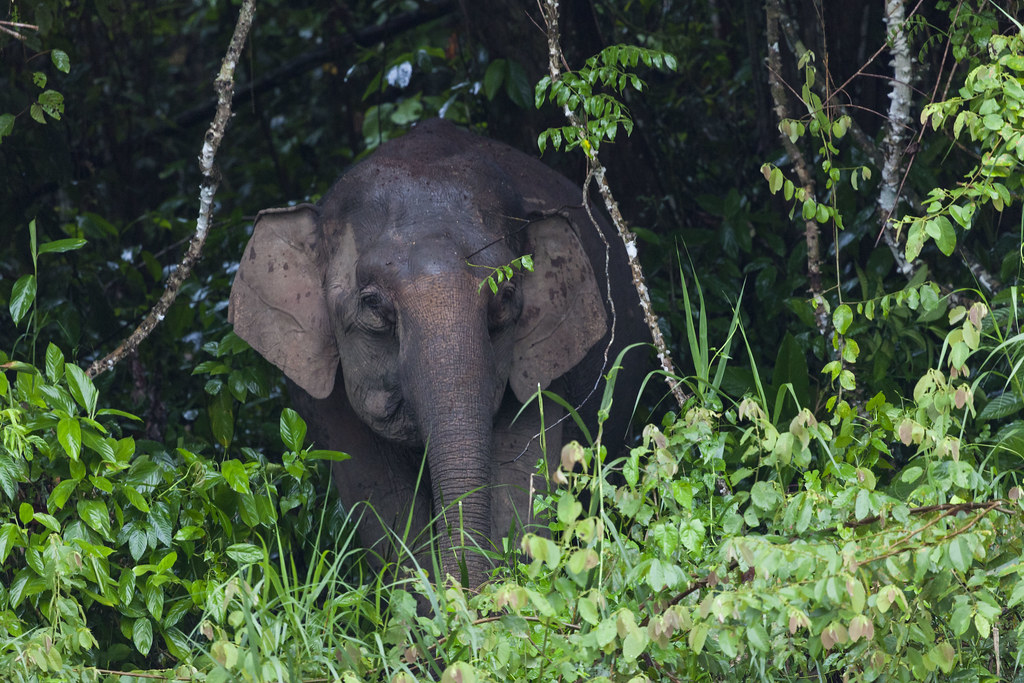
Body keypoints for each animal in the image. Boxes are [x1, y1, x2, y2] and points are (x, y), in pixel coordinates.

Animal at [228, 118, 648, 587]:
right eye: (372, 305)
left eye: (505, 298)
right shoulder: (325, 396)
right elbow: (382, 504)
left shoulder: (541, 370)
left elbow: (521, 483)